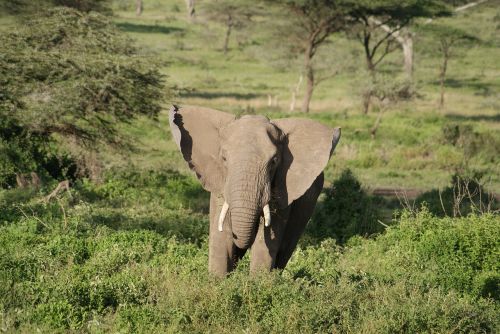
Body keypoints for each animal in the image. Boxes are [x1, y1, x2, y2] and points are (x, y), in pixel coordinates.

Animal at [168, 105, 340, 276]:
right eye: (224, 159)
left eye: (274, 161)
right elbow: (221, 233)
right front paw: (217, 280)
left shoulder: (283, 187)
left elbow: (267, 238)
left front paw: (259, 281)